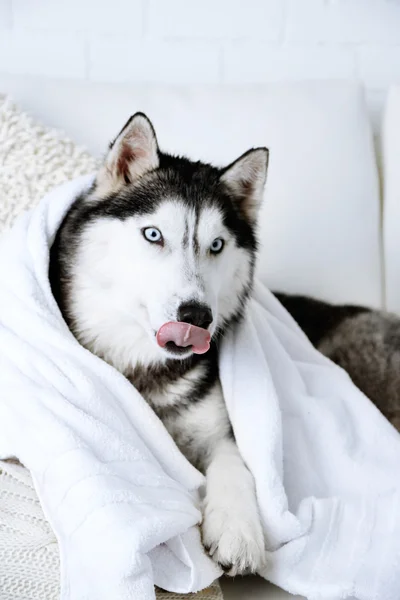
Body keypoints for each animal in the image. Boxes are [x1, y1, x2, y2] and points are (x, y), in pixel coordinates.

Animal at [50, 111, 268, 572]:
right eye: (153, 235)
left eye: (217, 245)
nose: (197, 316)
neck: (141, 364)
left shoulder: (215, 430)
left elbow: (234, 461)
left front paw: (238, 529)